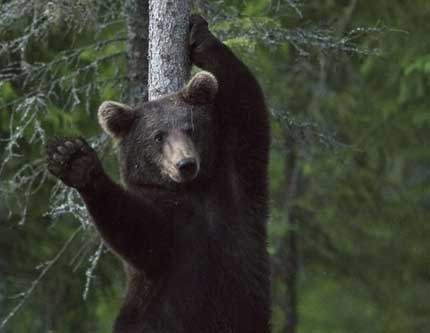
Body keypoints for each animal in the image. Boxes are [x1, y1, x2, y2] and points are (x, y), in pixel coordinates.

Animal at [45, 15, 270, 332]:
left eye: (191, 128)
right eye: (158, 136)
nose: (185, 164)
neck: (193, 190)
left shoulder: (237, 175)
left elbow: (247, 101)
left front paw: (199, 33)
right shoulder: (168, 226)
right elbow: (138, 231)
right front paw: (74, 160)